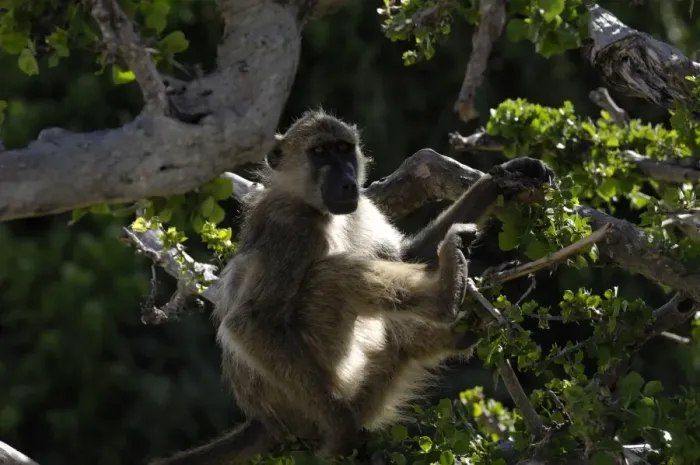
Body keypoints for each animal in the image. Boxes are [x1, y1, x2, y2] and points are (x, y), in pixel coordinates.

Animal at [148, 110, 554, 465]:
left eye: (344, 149)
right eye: (319, 152)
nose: (346, 181)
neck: (314, 205)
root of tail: (263, 420)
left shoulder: (361, 207)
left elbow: (408, 256)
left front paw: (503, 178)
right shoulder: (291, 229)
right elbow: (251, 322)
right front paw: (341, 429)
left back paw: (459, 328)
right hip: (317, 389)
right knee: (332, 277)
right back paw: (445, 293)